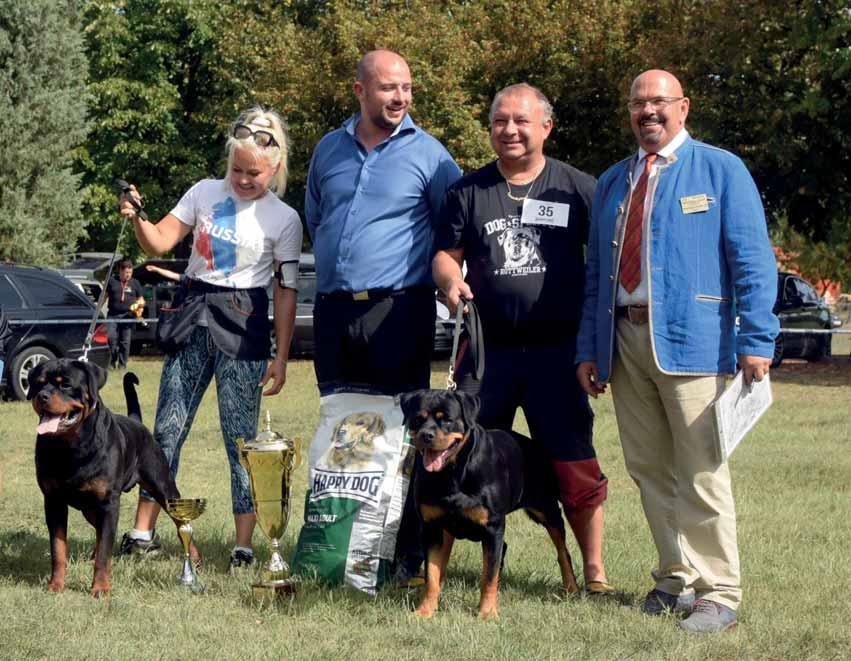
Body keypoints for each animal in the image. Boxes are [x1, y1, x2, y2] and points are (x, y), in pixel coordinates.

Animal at [29, 358, 180, 596]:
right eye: (38, 383)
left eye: (66, 385)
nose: (42, 396)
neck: (70, 447)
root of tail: (136, 422)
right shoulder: (53, 501)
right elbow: (58, 549)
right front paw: (56, 585)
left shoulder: (109, 504)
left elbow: (104, 553)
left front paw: (100, 588)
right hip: (91, 508)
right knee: (100, 533)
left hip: (163, 488)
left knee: (183, 526)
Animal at [400, 386, 580, 620]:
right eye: (417, 419)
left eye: (447, 419)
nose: (426, 435)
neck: (453, 472)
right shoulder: (432, 527)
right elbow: (432, 573)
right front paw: (425, 610)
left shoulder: (493, 526)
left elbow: (488, 576)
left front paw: (486, 613)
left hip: (547, 509)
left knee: (562, 550)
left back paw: (572, 588)